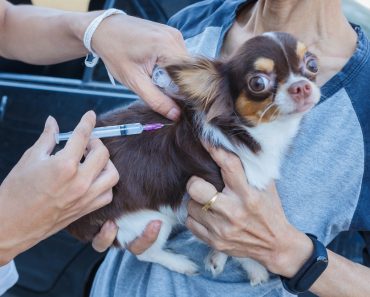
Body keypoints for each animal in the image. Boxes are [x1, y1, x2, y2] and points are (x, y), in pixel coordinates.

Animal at [67, 31, 320, 284]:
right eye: (258, 83)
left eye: (312, 65)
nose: (302, 86)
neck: (246, 131)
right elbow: (237, 246)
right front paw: (255, 268)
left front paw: (217, 258)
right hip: (147, 221)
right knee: (145, 253)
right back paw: (181, 264)